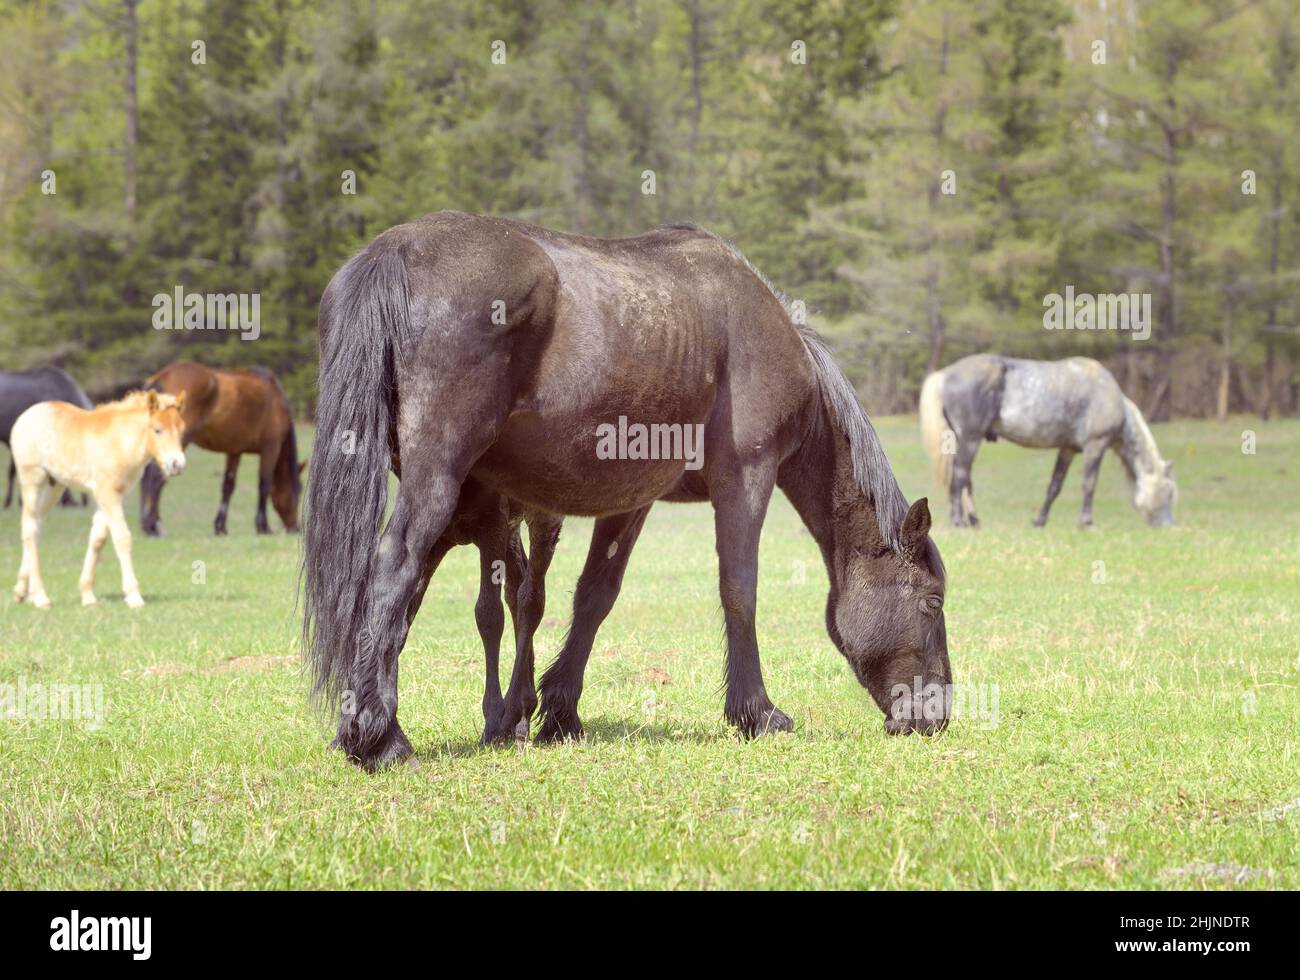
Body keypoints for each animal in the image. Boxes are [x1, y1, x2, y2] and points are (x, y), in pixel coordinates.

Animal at [10, 390, 187, 609]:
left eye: (182, 430)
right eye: (157, 430)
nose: (177, 464)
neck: (120, 442)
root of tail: (26, 415)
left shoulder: (113, 496)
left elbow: (98, 539)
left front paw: (87, 595)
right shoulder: (107, 494)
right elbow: (122, 538)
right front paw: (134, 596)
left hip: (54, 487)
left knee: (35, 525)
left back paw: (21, 591)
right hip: (33, 481)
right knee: (30, 528)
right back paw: (40, 596)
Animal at [139, 362, 303, 536]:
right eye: (299, 490)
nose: (295, 527)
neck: (276, 399)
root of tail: (161, 377)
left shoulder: (234, 451)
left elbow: (228, 486)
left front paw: (220, 527)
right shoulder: (270, 448)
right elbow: (264, 484)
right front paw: (262, 526)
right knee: (156, 478)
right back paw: (154, 526)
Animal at [303, 211, 951, 772]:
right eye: (933, 603)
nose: (938, 714)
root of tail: (395, 249)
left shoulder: (632, 501)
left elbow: (595, 597)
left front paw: (559, 710)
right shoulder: (746, 478)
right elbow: (739, 590)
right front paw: (757, 712)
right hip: (437, 483)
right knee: (394, 571)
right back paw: (384, 742)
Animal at [919, 354, 1177, 529]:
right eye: (1170, 493)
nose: (1168, 525)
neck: (1108, 396)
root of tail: (945, 374)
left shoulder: (1068, 449)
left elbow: (1054, 486)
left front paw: (1039, 521)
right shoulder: (1096, 445)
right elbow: (1089, 484)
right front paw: (1087, 522)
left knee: (965, 480)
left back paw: (973, 520)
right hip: (970, 439)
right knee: (960, 477)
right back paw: (958, 521)